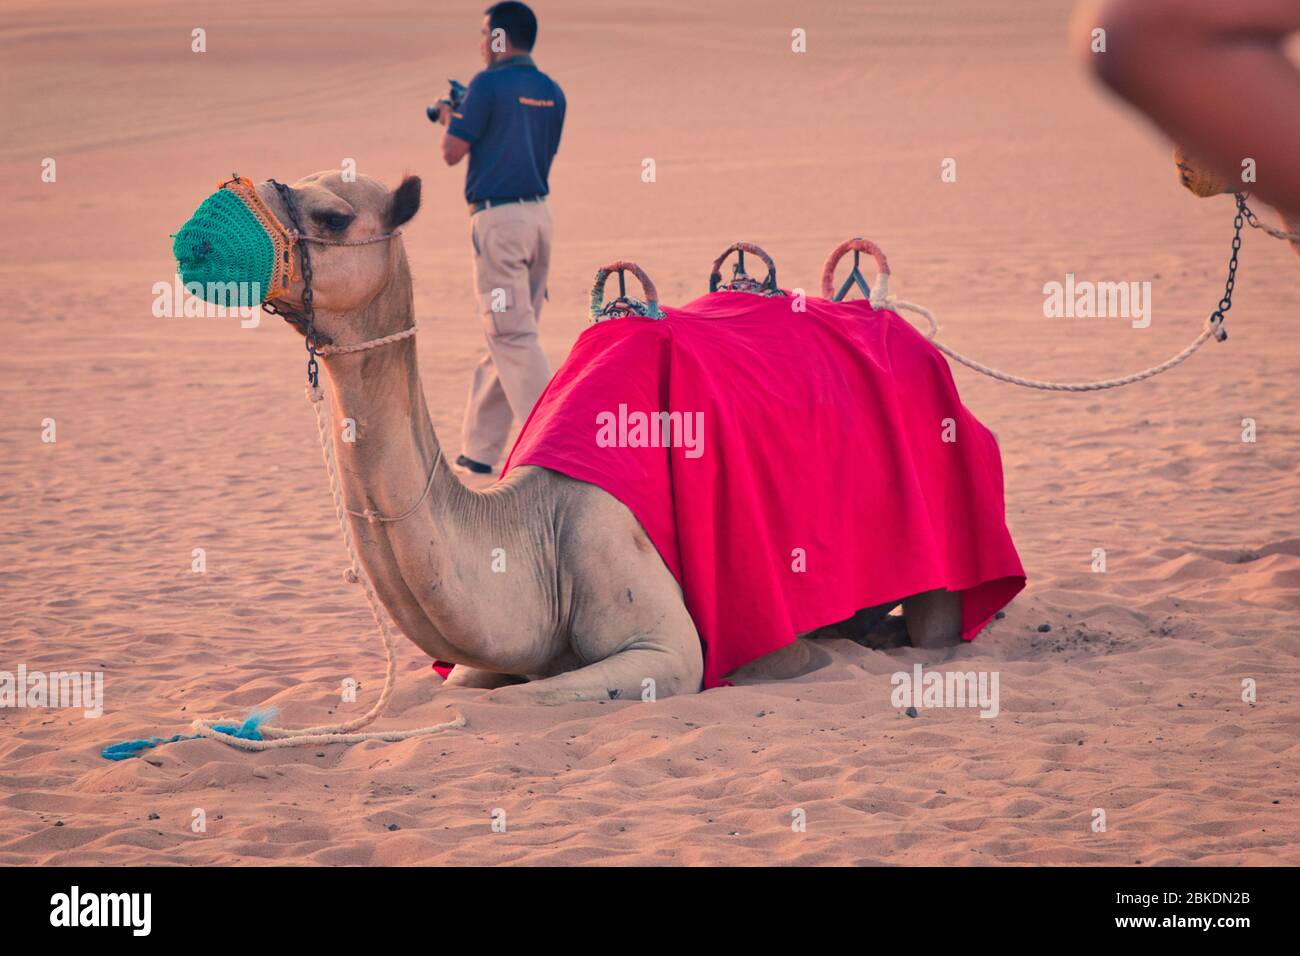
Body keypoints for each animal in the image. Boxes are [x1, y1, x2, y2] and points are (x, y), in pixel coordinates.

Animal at [256, 171, 967, 707]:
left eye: (333, 216)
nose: (249, 191)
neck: (530, 530)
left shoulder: (665, 648)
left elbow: (522, 697)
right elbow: (466, 687)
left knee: (938, 629)